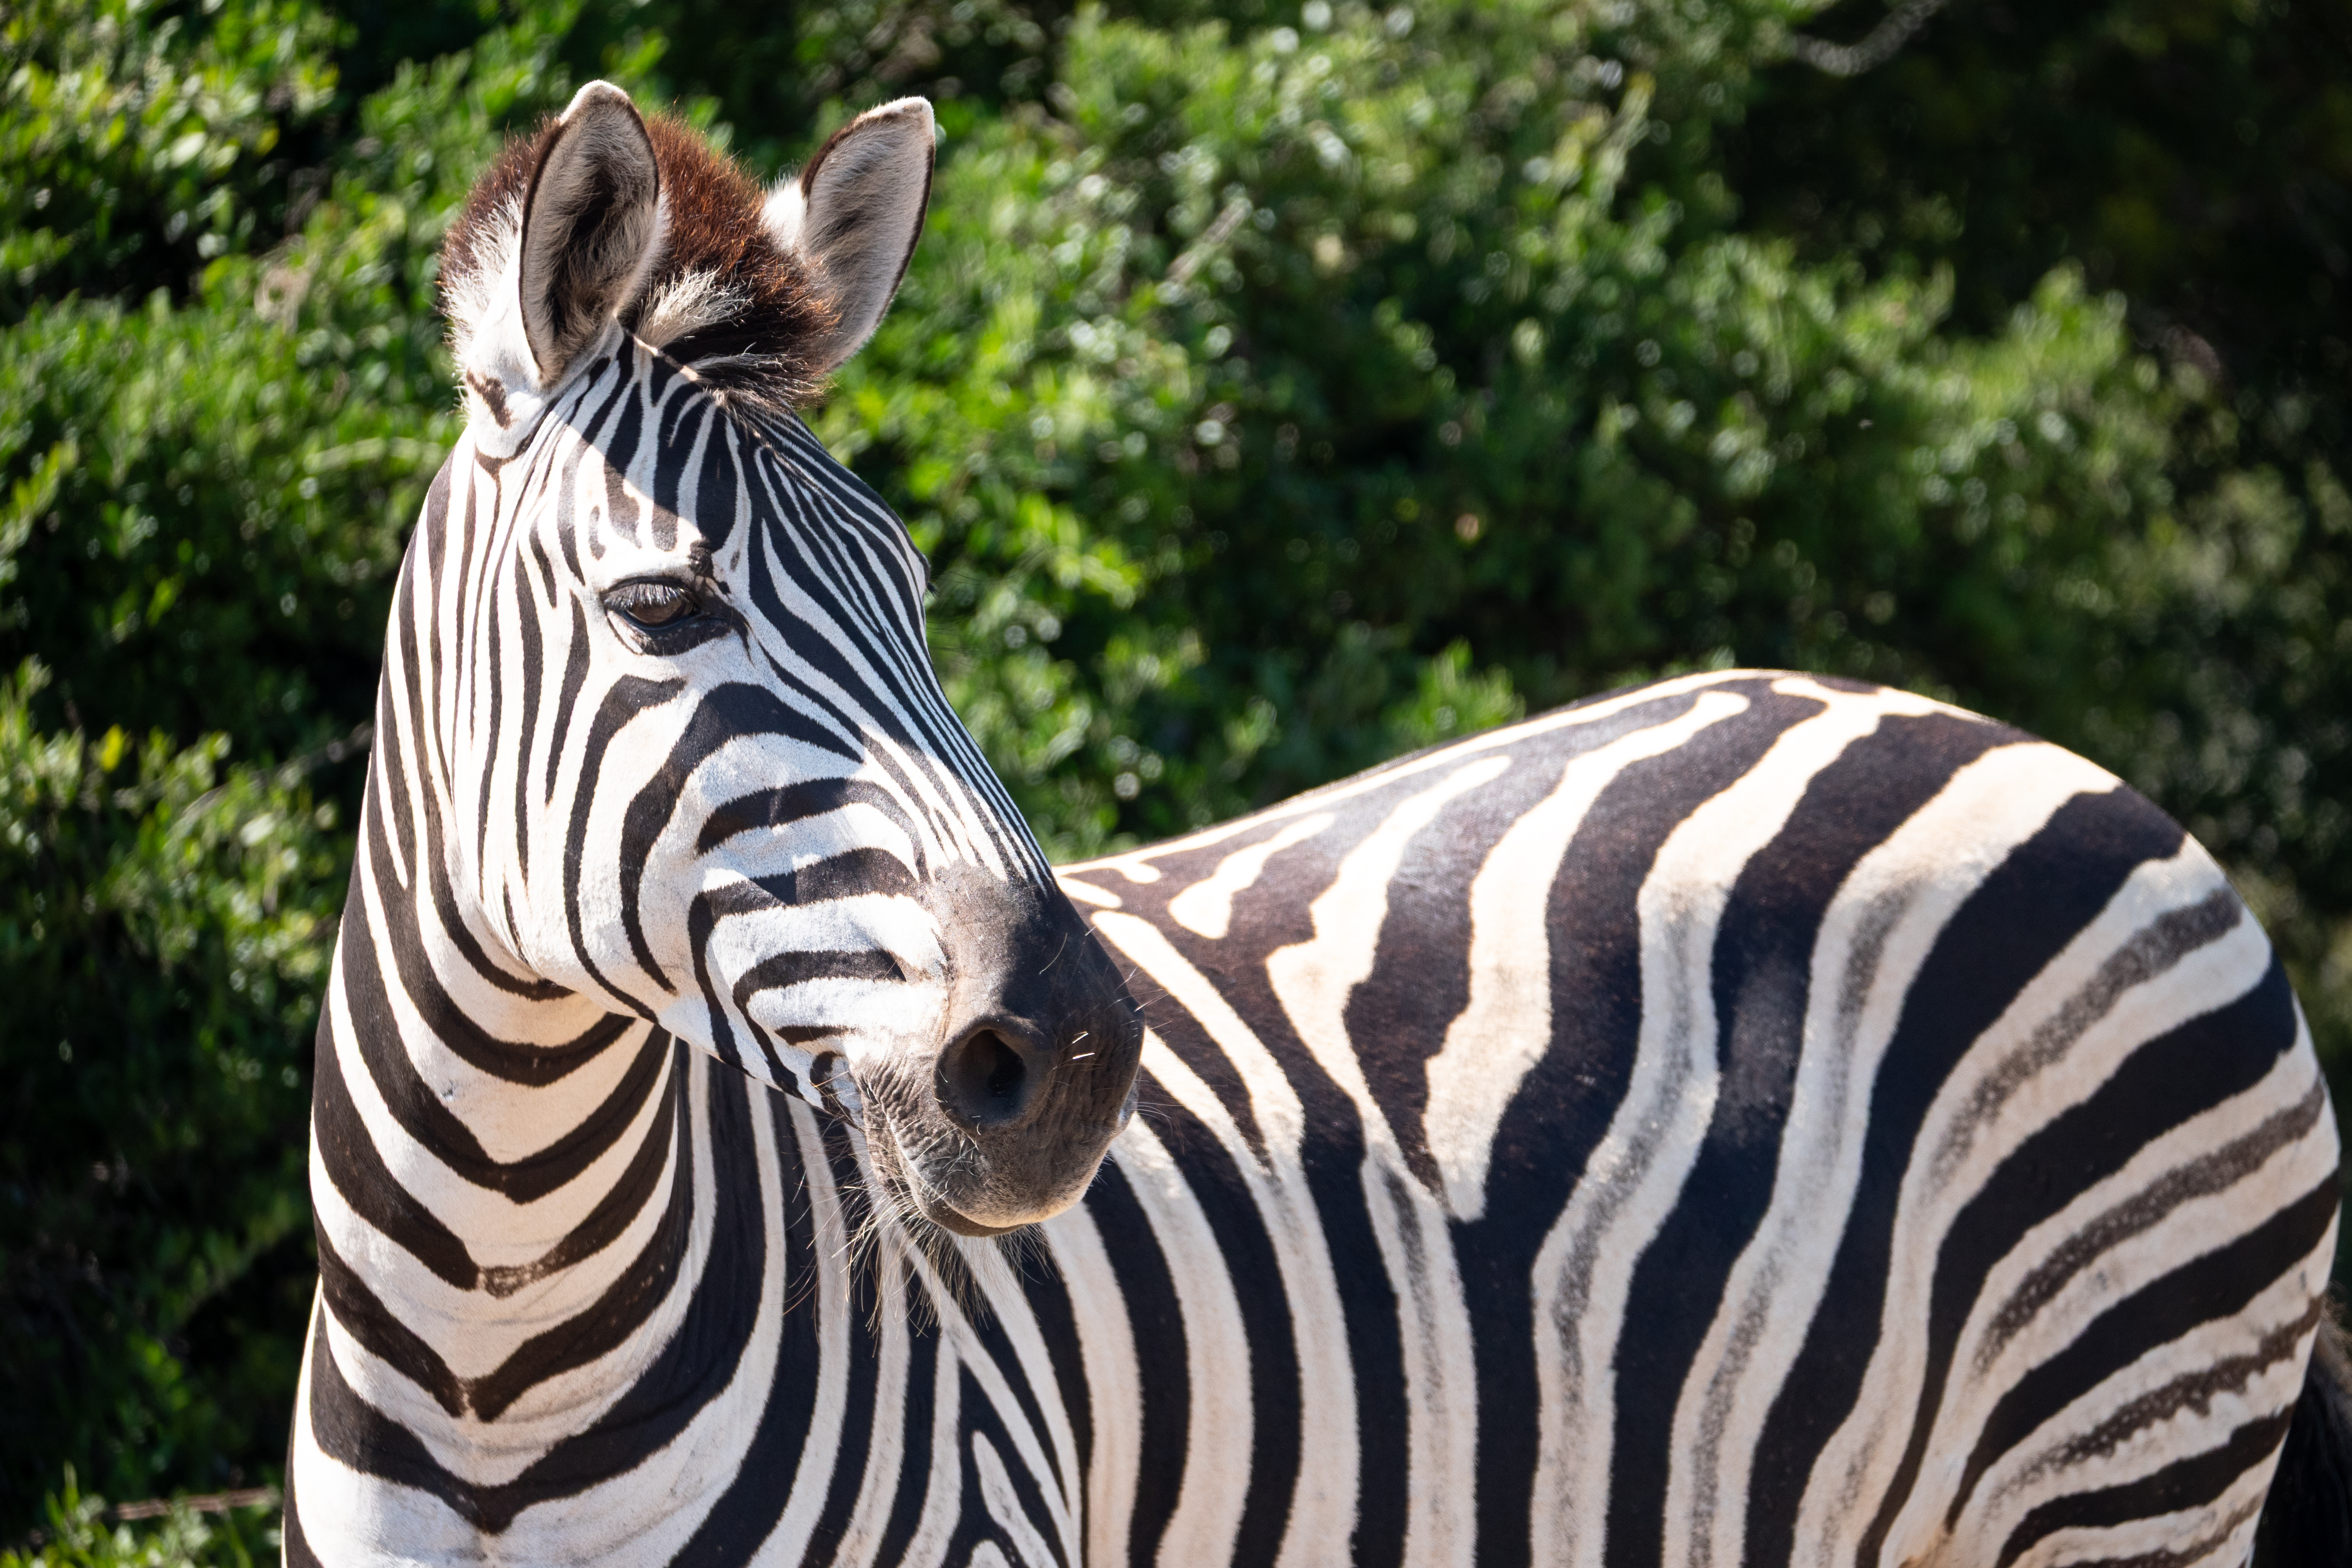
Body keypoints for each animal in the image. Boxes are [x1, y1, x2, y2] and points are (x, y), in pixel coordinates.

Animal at [287, 80, 2352, 1566]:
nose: (1072, 1055)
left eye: (919, 598)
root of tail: (2069, 767)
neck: (494, 1351)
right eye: (660, 608)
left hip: (2118, 1458)